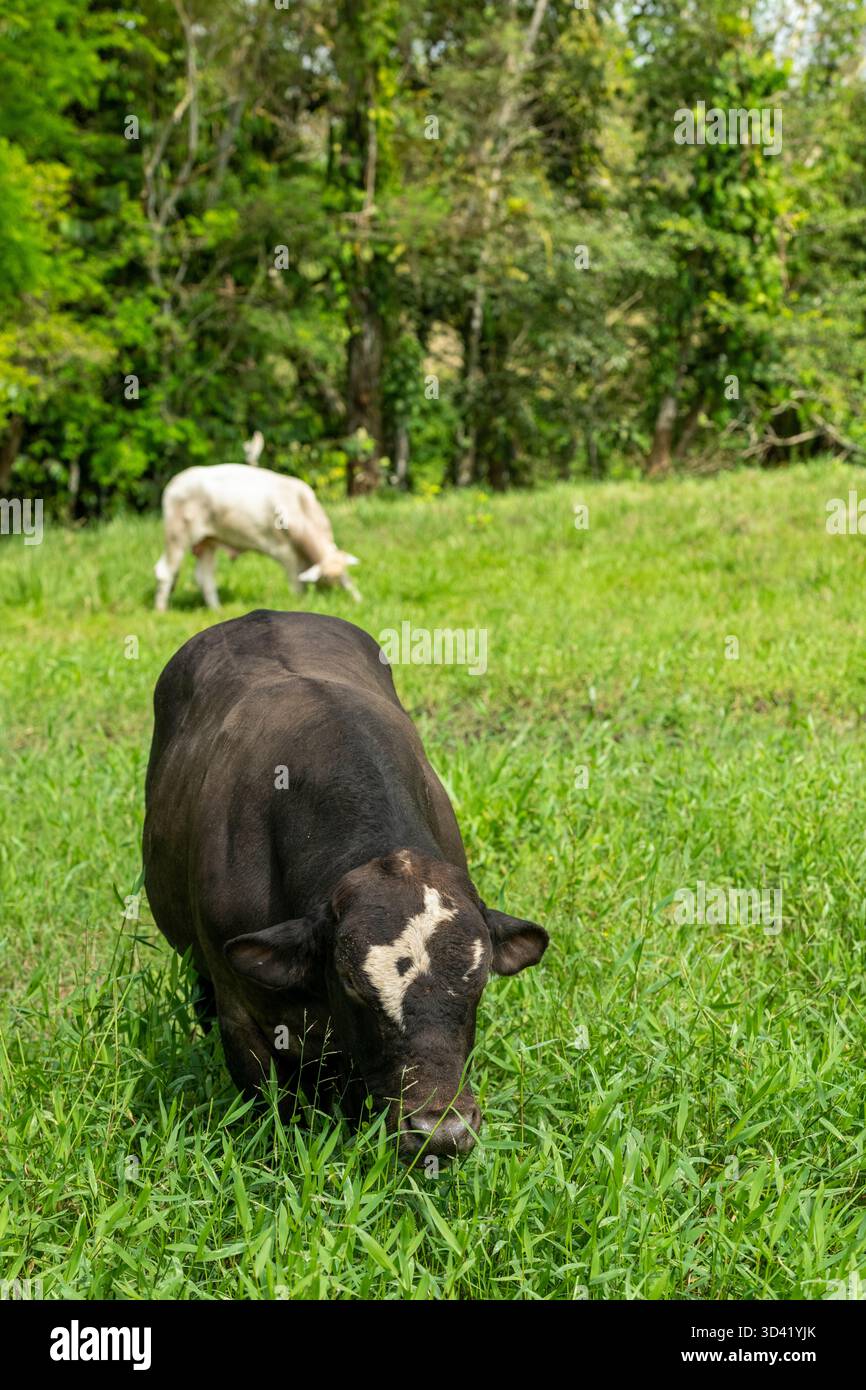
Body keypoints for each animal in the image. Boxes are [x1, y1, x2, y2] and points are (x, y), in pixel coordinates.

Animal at [154, 464, 360, 612]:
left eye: (340, 577)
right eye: (325, 579)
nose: (332, 597)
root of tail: (176, 481)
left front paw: (357, 597)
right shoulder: (285, 551)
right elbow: (296, 582)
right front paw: (299, 602)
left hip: (207, 542)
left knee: (205, 577)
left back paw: (216, 610)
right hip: (177, 535)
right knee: (165, 571)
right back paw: (161, 610)